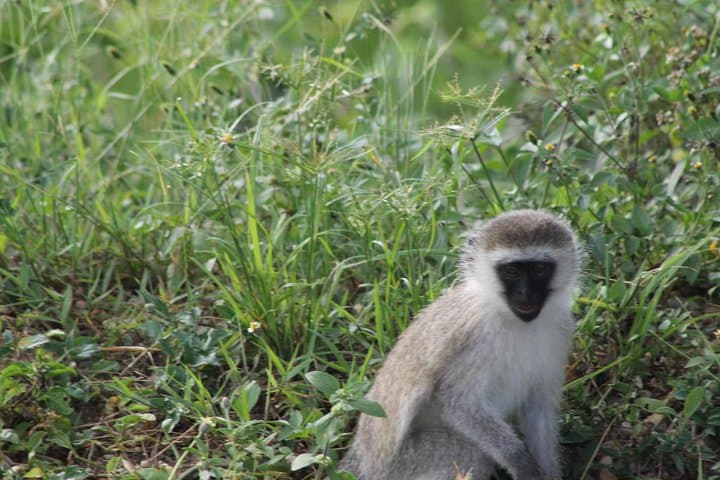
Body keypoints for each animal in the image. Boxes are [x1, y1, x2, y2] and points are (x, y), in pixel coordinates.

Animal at [337, 210, 581, 480]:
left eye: (539, 268)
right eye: (512, 271)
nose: (526, 294)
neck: (514, 321)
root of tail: (362, 461)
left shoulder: (561, 329)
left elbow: (538, 407)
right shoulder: (472, 336)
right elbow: (457, 402)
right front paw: (521, 463)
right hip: (404, 465)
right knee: (470, 452)